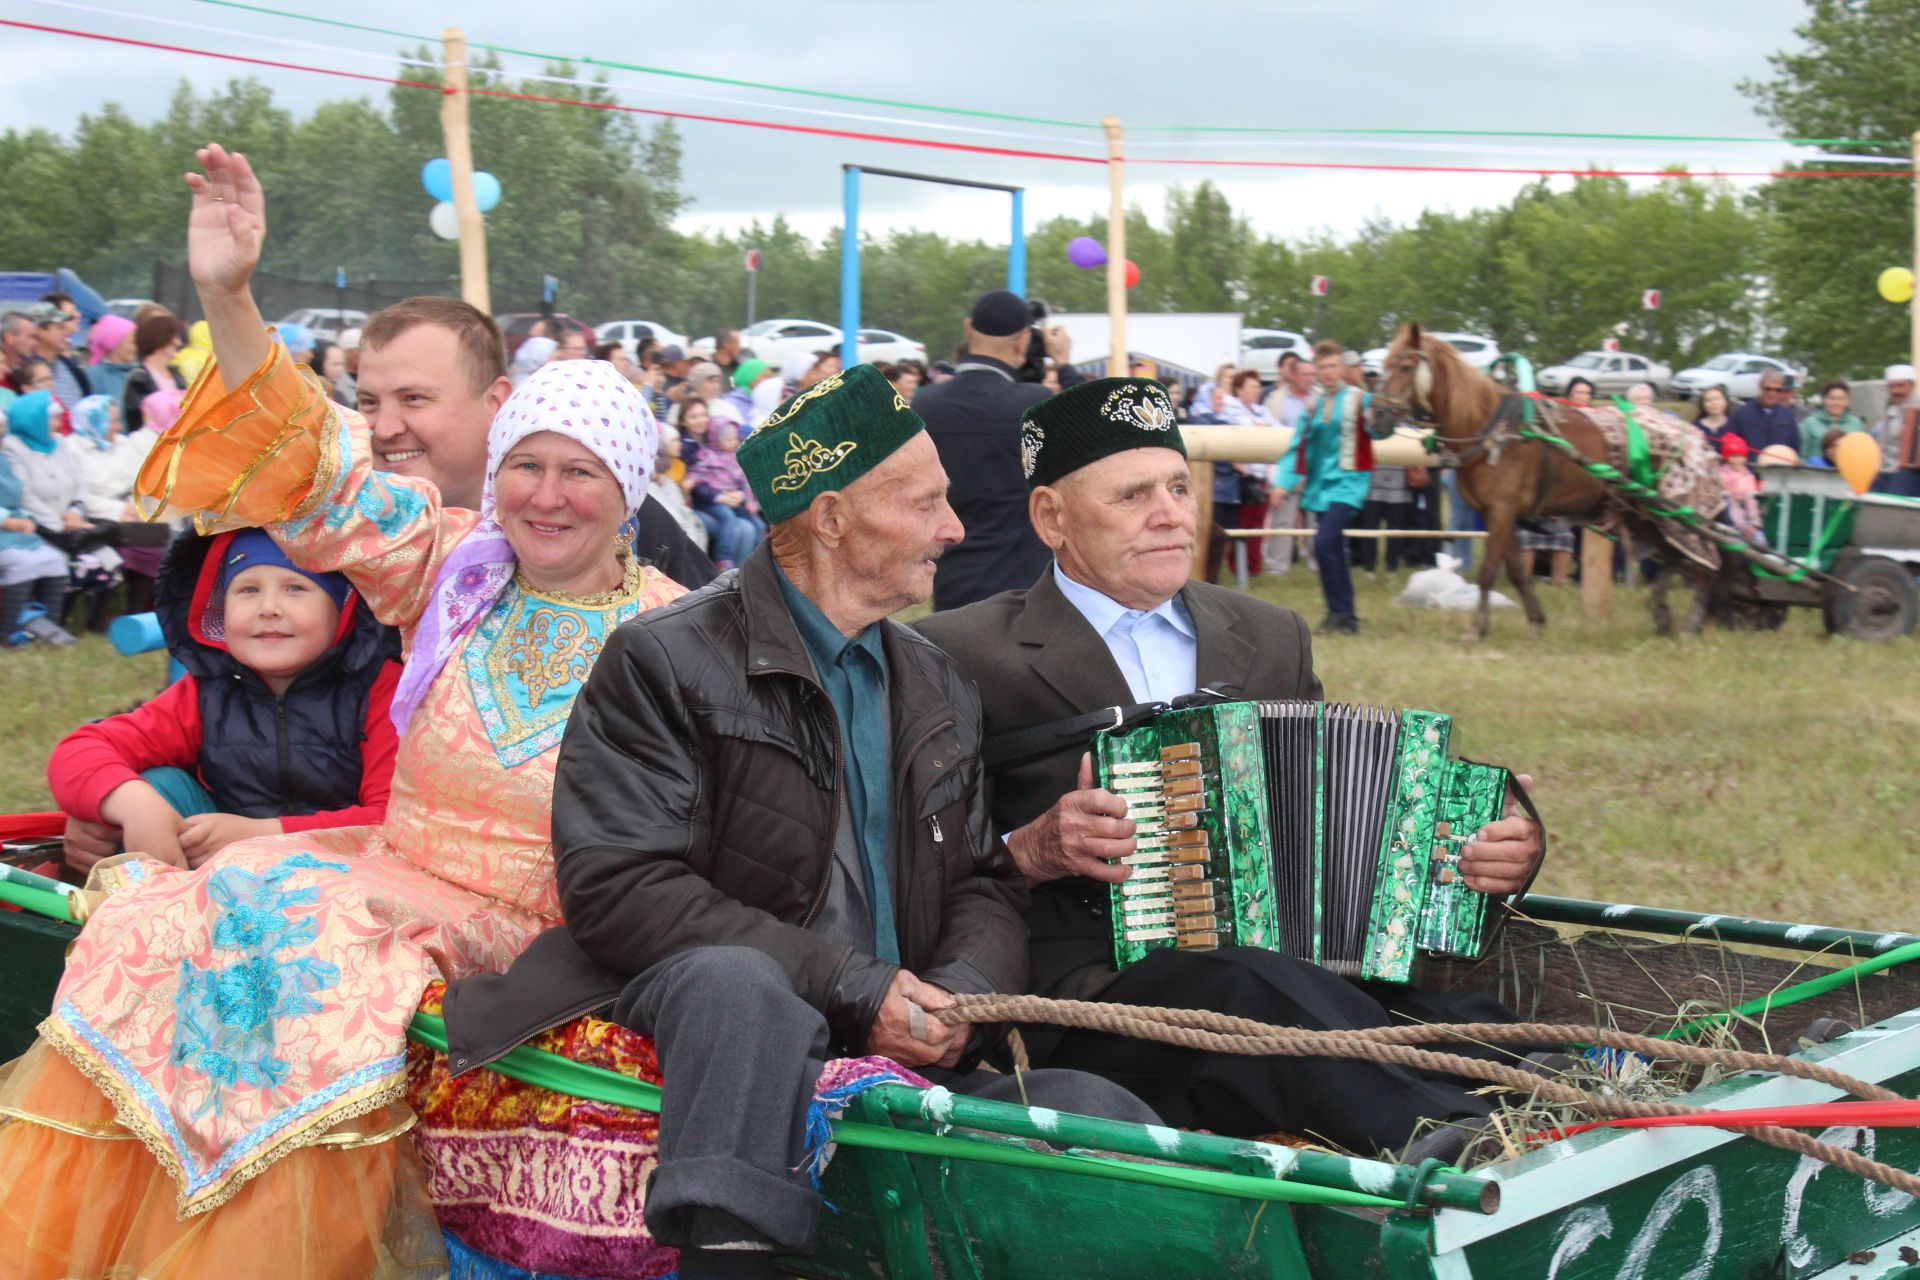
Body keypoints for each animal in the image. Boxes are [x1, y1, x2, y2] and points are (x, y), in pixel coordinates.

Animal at [1367, 322, 1712, 637]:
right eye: (1383, 366)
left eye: (1405, 366)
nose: (1376, 416)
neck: (1490, 428)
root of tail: (1694, 436)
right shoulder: (1497, 513)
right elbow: (1517, 570)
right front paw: (1535, 619)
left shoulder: (1501, 510)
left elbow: (1488, 571)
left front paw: (1477, 627)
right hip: (1644, 517)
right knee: (1676, 560)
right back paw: (1663, 616)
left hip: (1672, 516)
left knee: (1702, 563)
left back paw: (1691, 623)